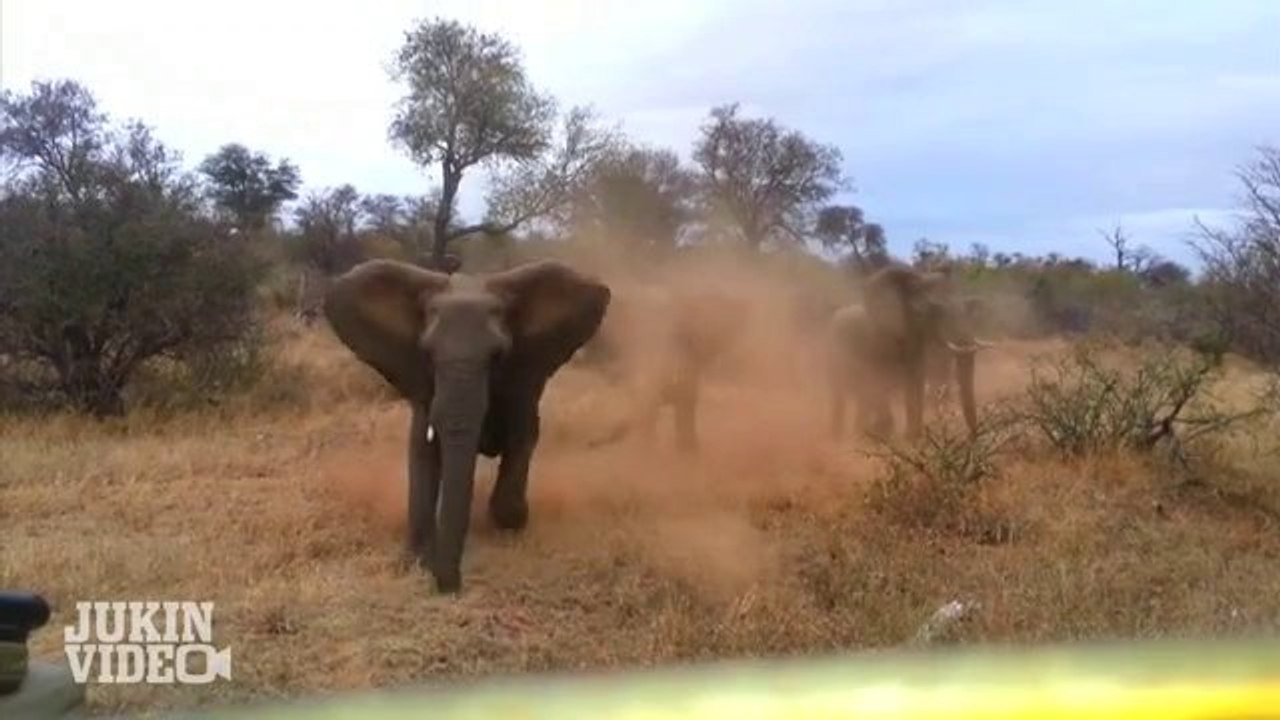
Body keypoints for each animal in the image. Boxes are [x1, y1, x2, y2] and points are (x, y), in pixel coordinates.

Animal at [322, 258, 610, 594]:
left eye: (498, 356)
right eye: (428, 354)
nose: (450, 587)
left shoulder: (524, 378)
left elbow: (522, 438)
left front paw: (511, 522)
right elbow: (421, 452)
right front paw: (416, 560)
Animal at [827, 264, 993, 441]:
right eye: (935, 311)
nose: (972, 438)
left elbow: (915, 379)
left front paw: (913, 439)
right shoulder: (878, 339)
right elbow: (878, 381)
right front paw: (886, 434)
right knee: (842, 395)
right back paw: (840, 438)